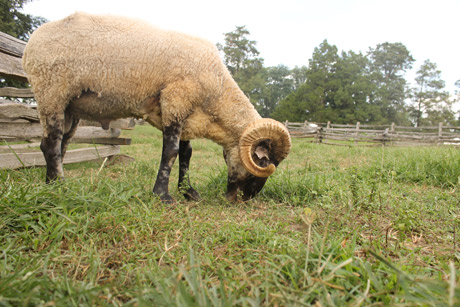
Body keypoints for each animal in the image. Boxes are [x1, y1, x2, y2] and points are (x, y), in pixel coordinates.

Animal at [22, 12, 292, 205]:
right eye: (265, 162)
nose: (246, 199)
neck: (215, 94)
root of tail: (31, 42)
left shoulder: (184, 112)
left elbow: (186, 154)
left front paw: (188, 192)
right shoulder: (176, 99)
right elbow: (170, 152)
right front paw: (163, 196)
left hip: (70, 107)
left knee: (60, 143)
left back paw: (51, 184)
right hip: (52, 92)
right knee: (51, 143)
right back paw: (60, 185)